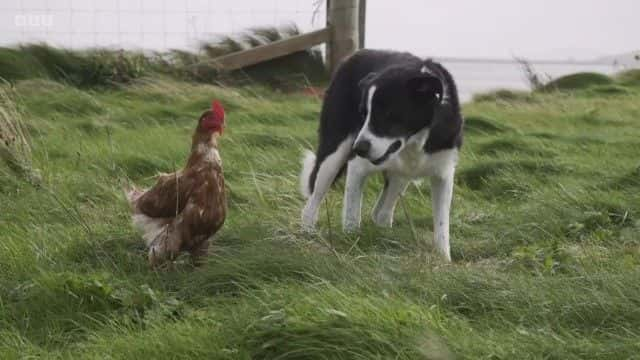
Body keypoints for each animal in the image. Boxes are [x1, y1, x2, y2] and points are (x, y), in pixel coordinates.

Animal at [298, 48, 462, 262]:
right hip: (333, 155)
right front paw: (351, 243)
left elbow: (442, 224)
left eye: (388, 115)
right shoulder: (357, 167)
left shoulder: (443, 173)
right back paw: (307, 232)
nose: (358, 148)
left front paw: (443, 259)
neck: (414, 141)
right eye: (363, 114)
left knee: (382, 212)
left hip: (401, 176)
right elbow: (352, 214)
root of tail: (355, 55)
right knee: (314, 198)